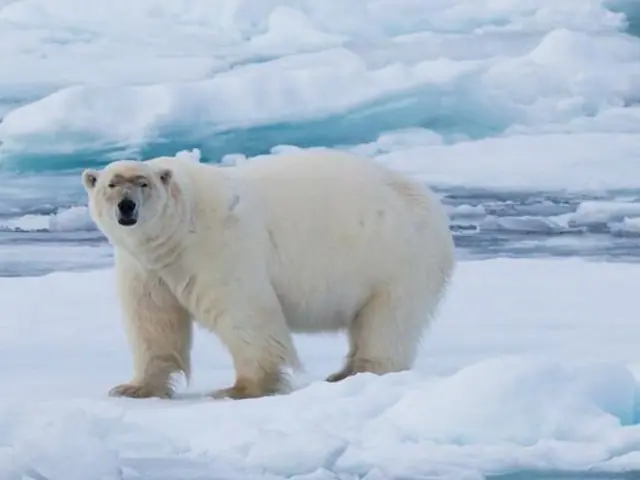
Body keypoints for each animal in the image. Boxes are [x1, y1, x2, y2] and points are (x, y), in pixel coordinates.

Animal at [82, 148, 455, 400]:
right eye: (111, 184)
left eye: (142, 183)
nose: (126, 207)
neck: (178, 228)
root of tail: (433, 205)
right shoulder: (146, 266)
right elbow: (153, 321)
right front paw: (133, 387)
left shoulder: (217, 247)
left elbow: (244, 313)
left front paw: (241, 388)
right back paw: (343, 372)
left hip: (396, 258)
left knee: (387, 321)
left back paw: (359, 371)